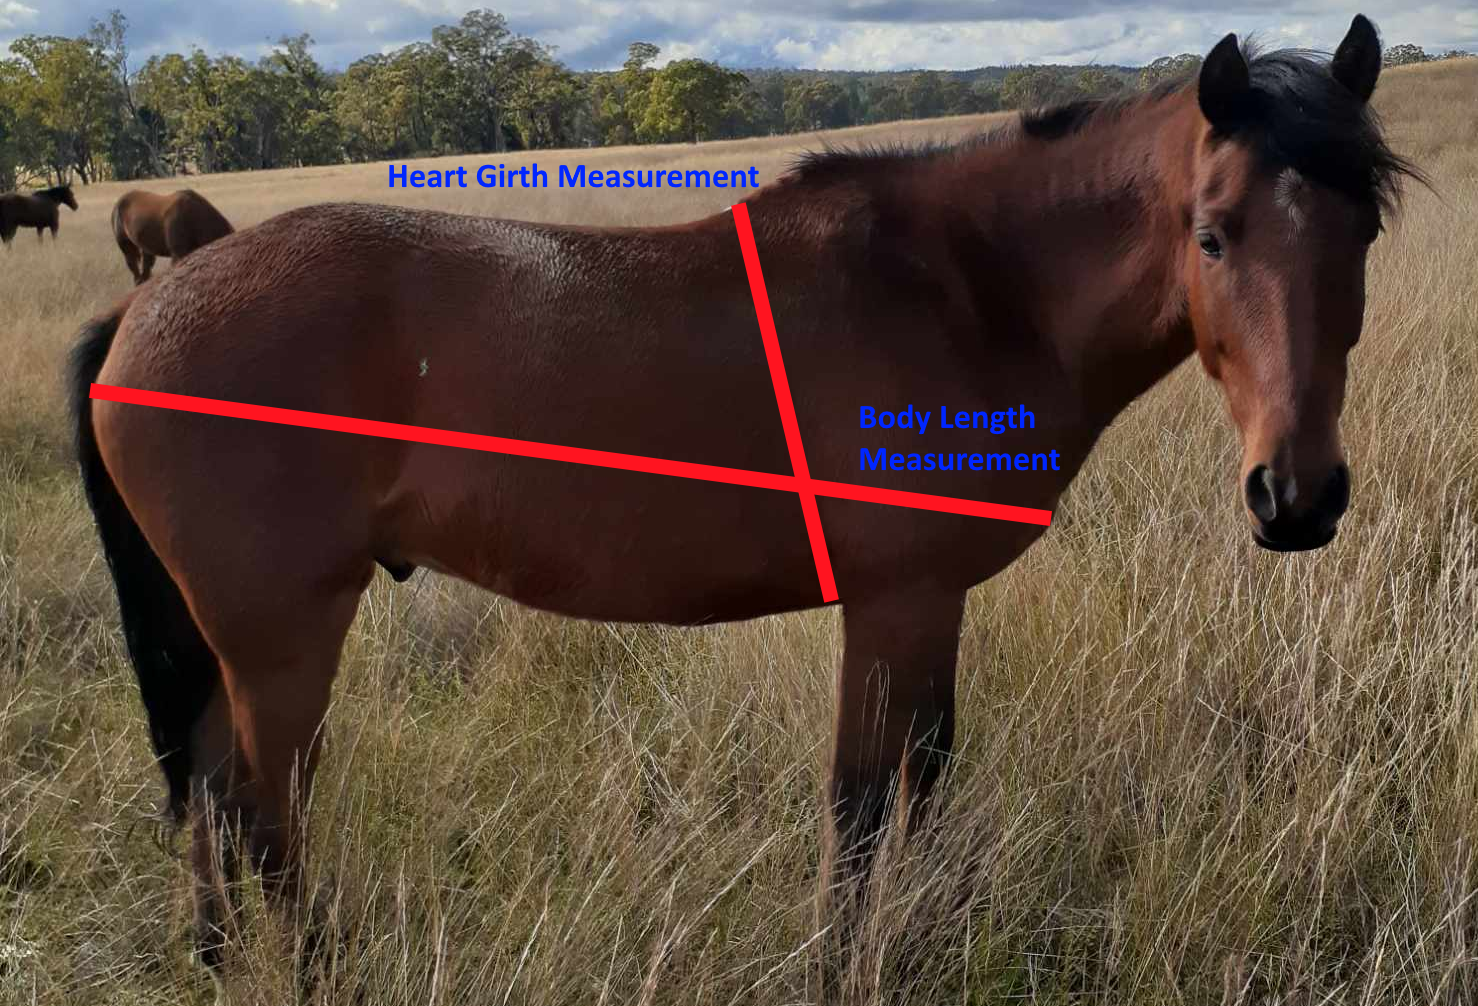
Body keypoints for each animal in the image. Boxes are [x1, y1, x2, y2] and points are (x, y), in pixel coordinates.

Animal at [69, 15, 1415, 981]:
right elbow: (866, 801)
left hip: (225, 638)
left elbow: (919, 779)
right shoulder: (895, 601)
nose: (1295, 495)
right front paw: (850, 963)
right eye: (1210, 235)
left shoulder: (925, 607)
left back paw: (216, 958)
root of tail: (145, 307)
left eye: (1361, 233)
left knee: (208, 791)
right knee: (261, 812)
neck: (964, 290)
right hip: (283, 636)